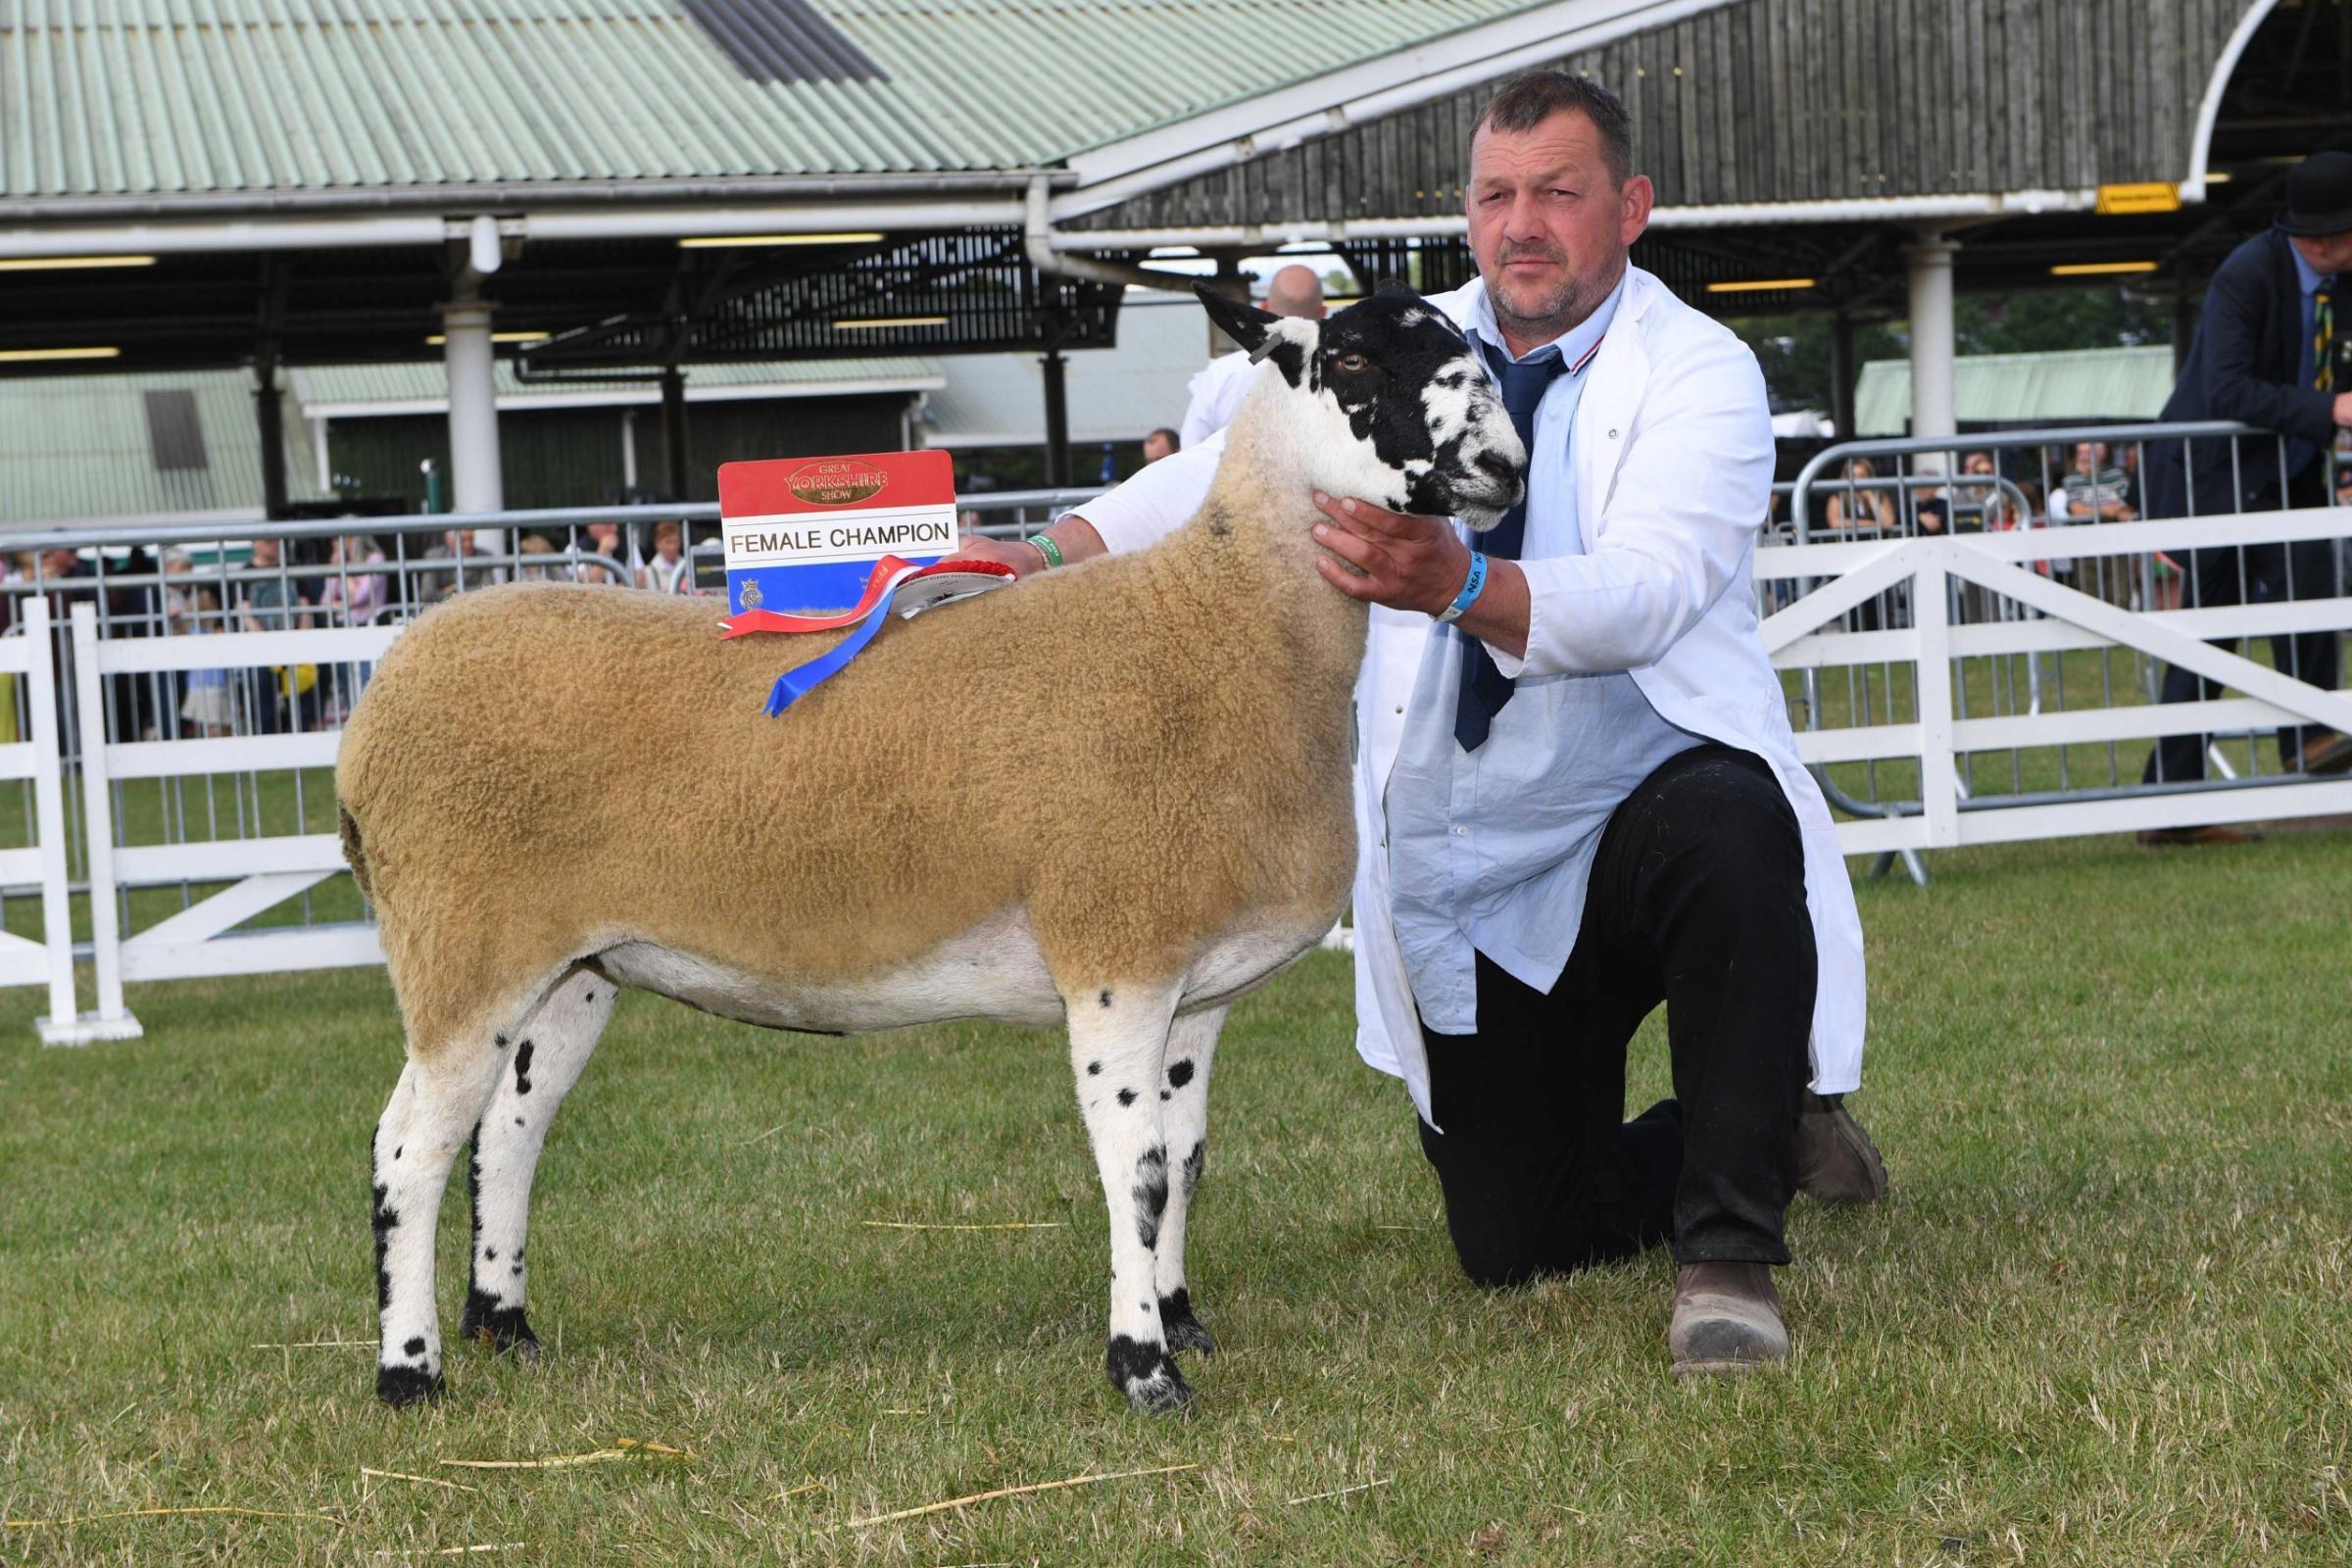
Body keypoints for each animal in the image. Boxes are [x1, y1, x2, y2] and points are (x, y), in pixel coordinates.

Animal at [343, 285, 1524, 1419]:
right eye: (1356, 357)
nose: (1504, 467)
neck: (1217, 625)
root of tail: (380, 695)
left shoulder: (1200, 985)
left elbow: (1185, 1161)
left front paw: (1182, 1316)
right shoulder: (1115, 953)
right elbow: (1135, 1170)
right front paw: (1143, 1368)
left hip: (571, 967)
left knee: (507, 1133)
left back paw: (506, 1328)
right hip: (462, 944)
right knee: (408, 1148)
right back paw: (411, 1373)